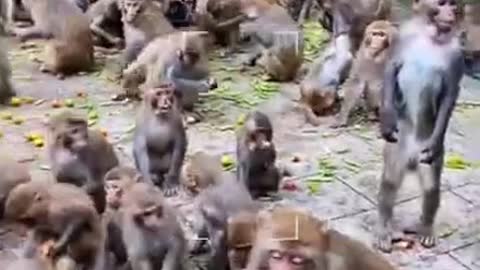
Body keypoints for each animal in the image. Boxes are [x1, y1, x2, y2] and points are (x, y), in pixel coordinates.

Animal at [376, 0, 464, 253]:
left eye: (453, 5)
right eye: (441, 4)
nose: (449, 14)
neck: (430, 35)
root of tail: (412, 159)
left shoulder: (456, 54)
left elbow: (449, 94)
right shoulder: (402, 35)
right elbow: (391, 67)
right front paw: (387, 120)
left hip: (427, 154)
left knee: (431, 187)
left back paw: (425, 229)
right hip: (398, 148)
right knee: (391, 180)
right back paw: (384, 230)